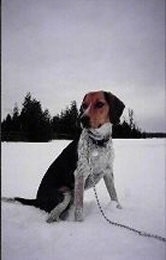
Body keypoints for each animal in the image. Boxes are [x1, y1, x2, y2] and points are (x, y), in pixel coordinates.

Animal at [2, 91, 124, 221]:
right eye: (84, 106)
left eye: (100, 104)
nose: (82, 119)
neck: (99, 142)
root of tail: (37, 200)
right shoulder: (80, 174)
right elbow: (79, 210)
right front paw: (80, 223)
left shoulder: (108, 172)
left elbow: (114, 195)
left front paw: (119, 210)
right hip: (65, 194)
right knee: (51, 217)